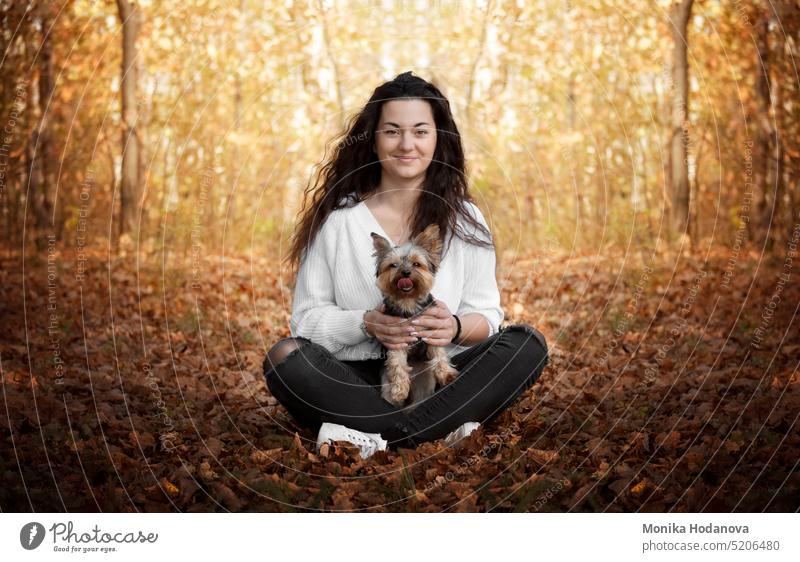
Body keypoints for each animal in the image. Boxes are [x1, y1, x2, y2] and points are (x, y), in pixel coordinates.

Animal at [372, 222, 460, 406]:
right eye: (393, 265)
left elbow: (439, 354)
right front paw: (399, 390)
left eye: (416, 264)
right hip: (386, 384)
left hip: (424, 383)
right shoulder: (396, 340)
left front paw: (447, 374)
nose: (405, 273)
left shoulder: (433, 331)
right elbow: (397, 364)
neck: (409, 302)